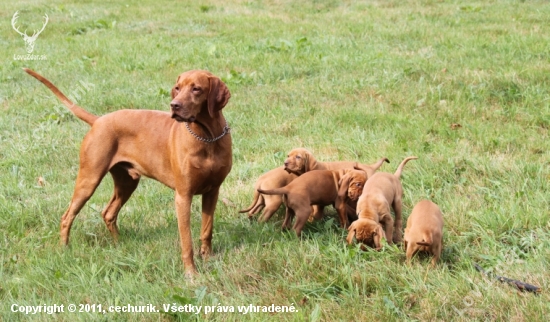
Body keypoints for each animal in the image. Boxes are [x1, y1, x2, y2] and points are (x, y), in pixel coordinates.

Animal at [24, 68, 232, 276]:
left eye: (196, 89)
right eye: (177, 88)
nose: (174, 105)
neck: (207, 138)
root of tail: (98, 120)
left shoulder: (213, 191)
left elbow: (207, 230)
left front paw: (209, 259)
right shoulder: (183, 196)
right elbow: (186, 241)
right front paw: (191, 273)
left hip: (127, 182)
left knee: (108, 213)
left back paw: (119, 244)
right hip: (89, 179)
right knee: (67, 216)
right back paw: (64, 249)